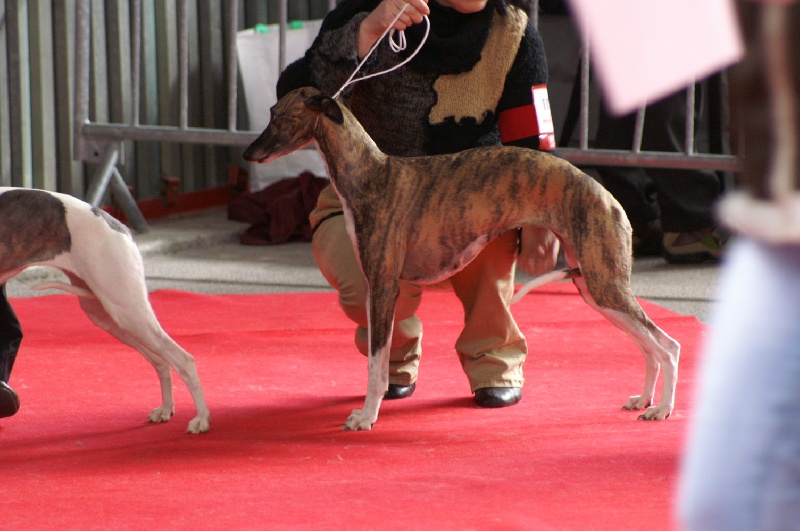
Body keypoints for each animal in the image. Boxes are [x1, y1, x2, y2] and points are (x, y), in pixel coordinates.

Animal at [0, 187, 210, 433]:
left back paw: (202, 419)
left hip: (127, 308)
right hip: (108, 315)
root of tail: (119, 226)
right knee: (161, 361)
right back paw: (166, 409)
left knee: (184, 359)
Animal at [243, 87, 680, 431]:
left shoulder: (383, 286)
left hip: (603, 283)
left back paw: (662, 410)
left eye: (278, 115)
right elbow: (379, 361)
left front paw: (366, 416)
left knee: (668, 344)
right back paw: (643, 401)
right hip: (593, 285)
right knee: (648, 346)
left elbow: (375, 364)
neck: (369, 174)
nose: (248, 153)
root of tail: (607, 197)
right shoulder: (376, 288)